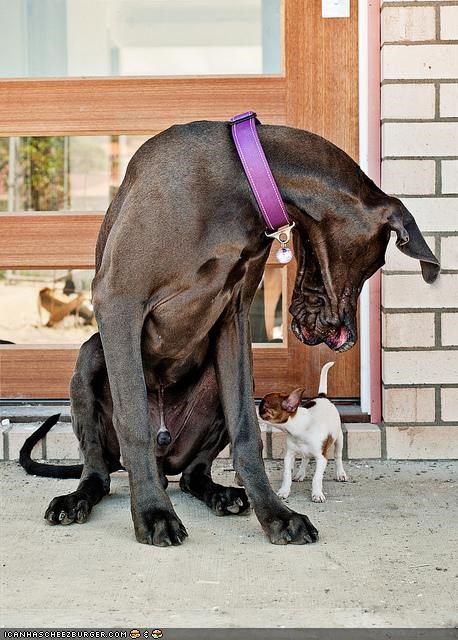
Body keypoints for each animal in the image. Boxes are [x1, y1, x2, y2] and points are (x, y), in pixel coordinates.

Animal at [259, 362, 347, 503]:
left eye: (264, 408)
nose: (255, 408)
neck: (300, 427)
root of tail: (322, 396)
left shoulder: (321, 458)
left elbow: (317, 478)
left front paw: (317, 494)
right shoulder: (289, 456)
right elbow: (286, 475)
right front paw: (284, 491)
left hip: (339, 438)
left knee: (338, 456)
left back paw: (340, 474)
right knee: (305, 458)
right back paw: (300, 474)